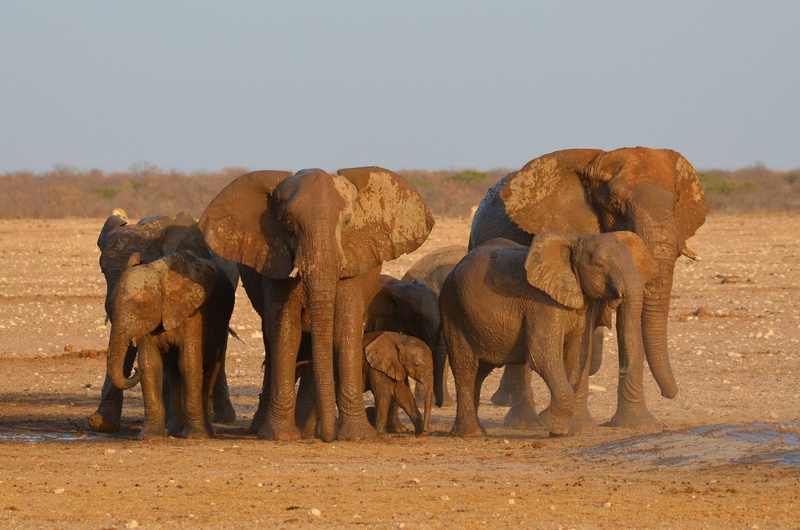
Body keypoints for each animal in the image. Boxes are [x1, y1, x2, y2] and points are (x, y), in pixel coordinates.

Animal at [198, 167, 434, 442]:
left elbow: (345, 329)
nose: (328, 437)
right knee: (273, 340)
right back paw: (267, 429)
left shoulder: (355, 264)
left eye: (347, 222)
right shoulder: (274, 260)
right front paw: (281, 436)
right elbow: (286, 331)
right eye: (289, 225)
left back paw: (310, 430)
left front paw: (356, 436)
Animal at [439, 231, 655, 437]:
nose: (621, 370)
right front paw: (554, 427)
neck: (575, 243)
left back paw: (478, 431)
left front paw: (565, 432)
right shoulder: (542, 304)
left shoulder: (583, 307)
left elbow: (576, 356)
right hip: (453, 310)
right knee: (466, 370)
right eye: (599, 265)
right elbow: (542, 356)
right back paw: (471, 434)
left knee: (480, 372)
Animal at [469, 147, 707, 430]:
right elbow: (588, 324)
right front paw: (581, 426)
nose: (670, 394)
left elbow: (629, 319)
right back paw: (523, 422)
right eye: (615, 204)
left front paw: (637, 425)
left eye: (676, 203)